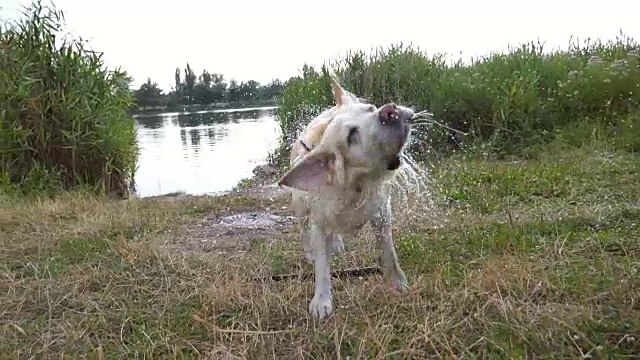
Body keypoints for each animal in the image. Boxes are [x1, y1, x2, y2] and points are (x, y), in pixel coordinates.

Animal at [276, 75, 416, 318]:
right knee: (303, 229)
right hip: (300, 204)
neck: (357, 184)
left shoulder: (382, 210)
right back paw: (310, 252)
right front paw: (321, 301)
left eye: (371, 108)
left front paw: (398, 282)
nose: (389, 110)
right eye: (352, 136)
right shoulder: (319, 221)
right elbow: (322, 265)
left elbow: (389, 251)